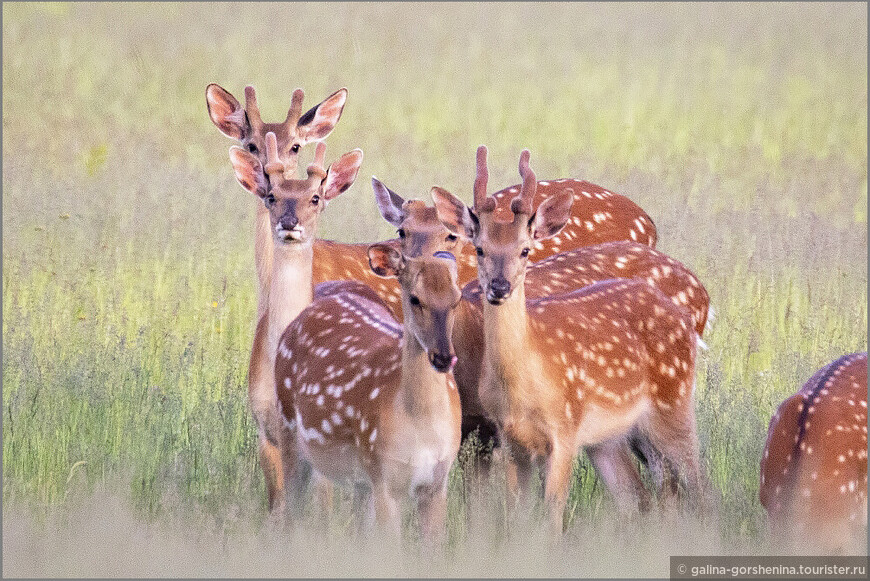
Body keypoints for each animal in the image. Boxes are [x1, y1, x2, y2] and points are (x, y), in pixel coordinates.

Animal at [274, 249, 466, 540]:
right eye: (414, 298)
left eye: (457, 299)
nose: (443, 357)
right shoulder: (383, 474)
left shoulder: (437, 481)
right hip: (288, 427)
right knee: (292, 511)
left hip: (359, 478)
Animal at [432, 146, 704, 532]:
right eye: (480, 249)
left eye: (526, 250)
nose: (499, 286)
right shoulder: (504, 437)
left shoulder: (558, 433)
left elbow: (548, 517)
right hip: (613, 435)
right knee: (642, 495)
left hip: (669, 412)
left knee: (693, 487)